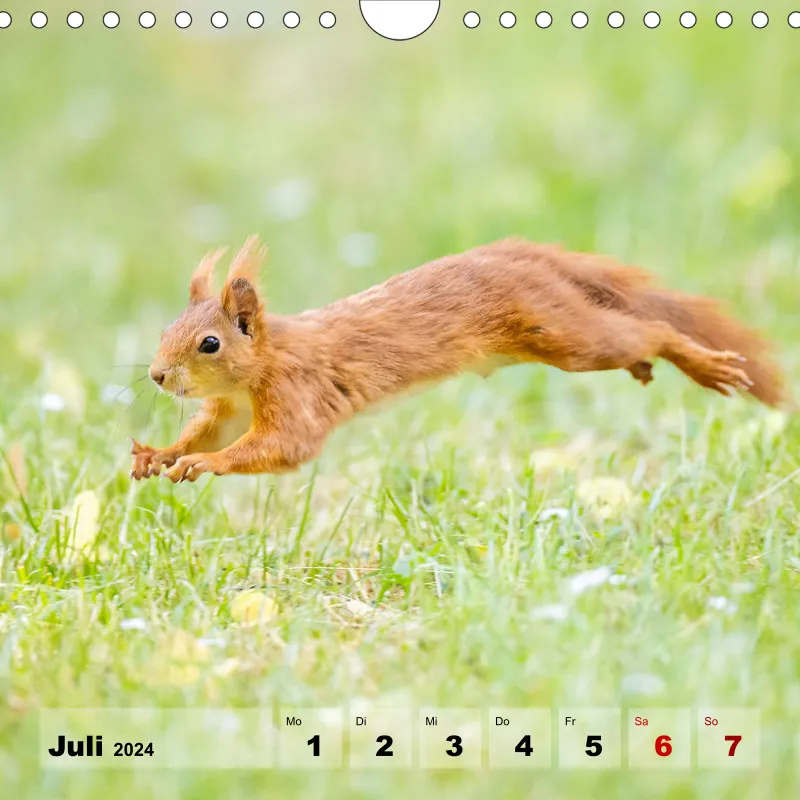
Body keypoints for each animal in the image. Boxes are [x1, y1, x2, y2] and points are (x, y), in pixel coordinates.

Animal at [131, 236, 785, 483]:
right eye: (164, 328)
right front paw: (159, 454)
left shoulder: (295, 391)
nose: (157, 376)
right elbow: (210, 431)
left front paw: (203, 465)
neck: (260, 365)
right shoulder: (232, 408)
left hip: (564, 335)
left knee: (649, 330)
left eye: (210, 343)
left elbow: (283, 446)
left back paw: (703, 364)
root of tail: (522, 256)